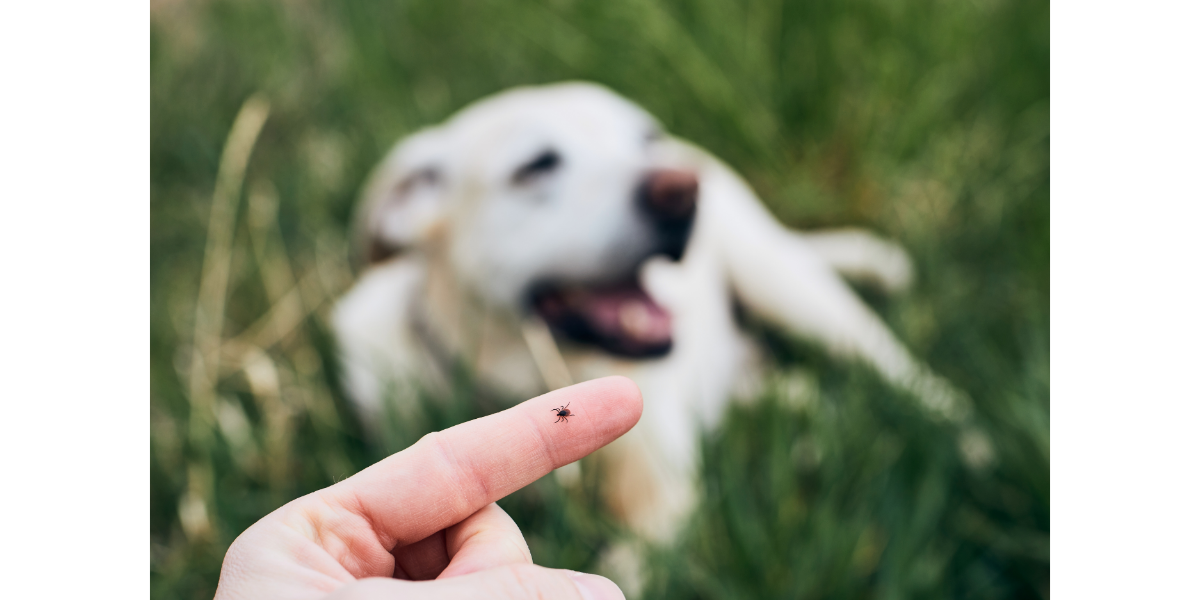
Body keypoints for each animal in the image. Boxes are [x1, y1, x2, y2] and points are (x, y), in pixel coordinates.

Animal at [328, 83, 974, 549]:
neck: (528, 375)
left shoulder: (662, 505)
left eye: (644, 139)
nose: (682, 191)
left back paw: (972, 444)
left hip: (789, 287)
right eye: (536, 166)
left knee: (903, 374)